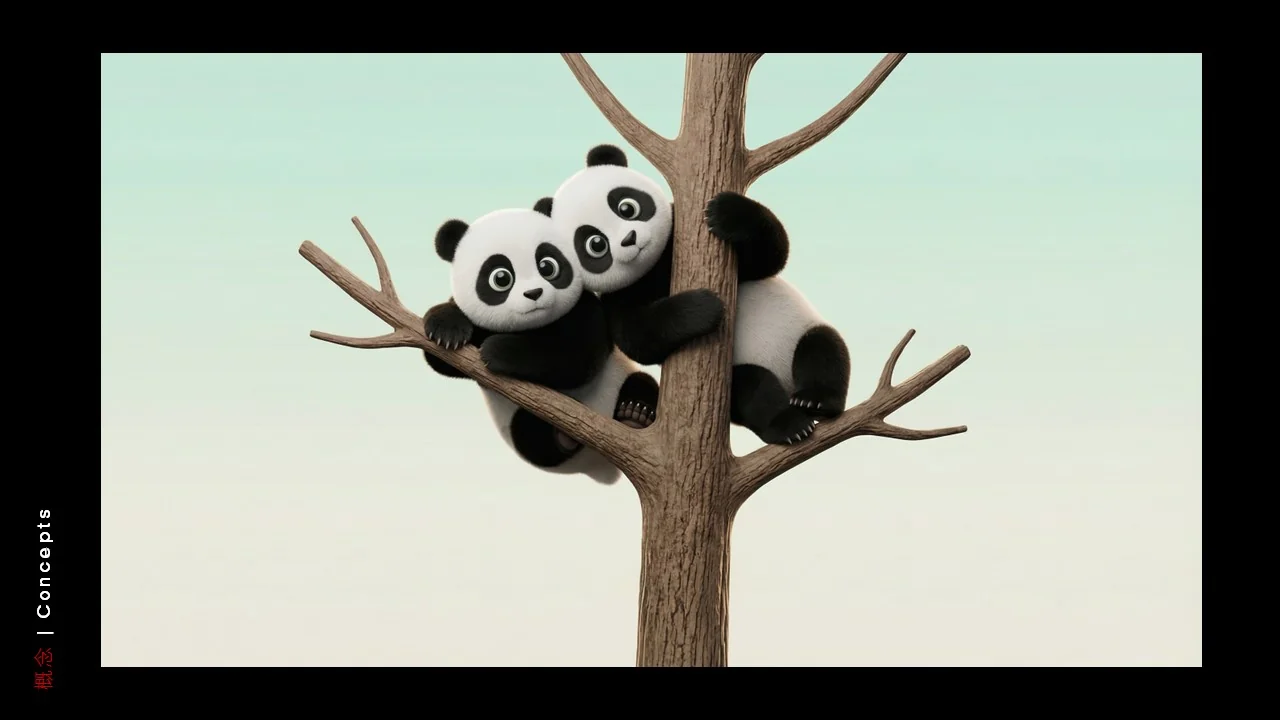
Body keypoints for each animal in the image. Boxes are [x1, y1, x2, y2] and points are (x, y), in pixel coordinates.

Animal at [420, 201, 660, 484]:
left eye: (548, 266)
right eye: (501, 278)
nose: (534, 294)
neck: (534, 327)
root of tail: (600, 468)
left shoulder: (583, 308)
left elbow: (577, 357)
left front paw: (497, 350)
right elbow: (441, 358)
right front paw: (447, 330)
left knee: (642, 384)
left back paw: (636, 414)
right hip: (525, 427)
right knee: (531, 435)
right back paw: (564, 436)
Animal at [543, 144, 851, 447]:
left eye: (627, 207)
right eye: (596, 244)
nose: (630, 239)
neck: (657, 262)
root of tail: (788, 387)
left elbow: (770, 254)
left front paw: (726, 211)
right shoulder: (621, 291)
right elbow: (637, 335)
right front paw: (704, 307)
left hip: (800, 335)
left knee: (823, 350)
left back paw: (816, 401)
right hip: (736, 384)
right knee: (754, 389)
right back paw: (788, 424)